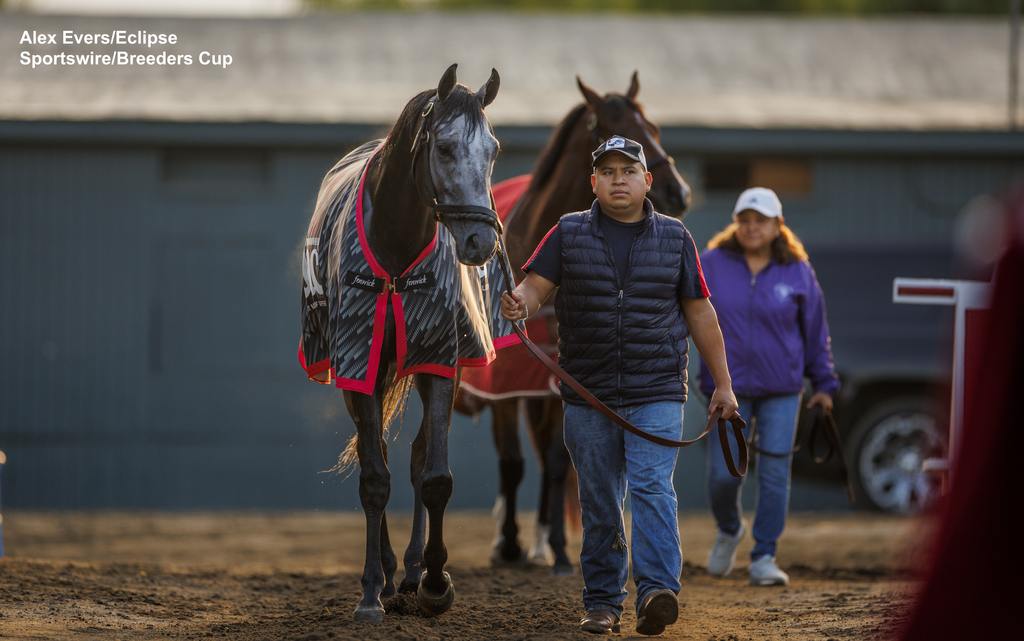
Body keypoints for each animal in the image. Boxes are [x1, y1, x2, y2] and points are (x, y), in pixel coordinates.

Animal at [299, 65, 501, 618]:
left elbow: (433, 476)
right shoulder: (358, 362)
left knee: (412, 459)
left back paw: (410, 571)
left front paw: (434, 582)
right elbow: (374, 478)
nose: (480, 241)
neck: (395, 246)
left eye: (493, 149)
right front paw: (371, 591)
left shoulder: (438, 360)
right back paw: (389, 573)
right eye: (446, 147)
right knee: (382, 460)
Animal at [454, 71, 688, 573]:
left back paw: (545, 540)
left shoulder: (560, 382)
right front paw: (507, 545)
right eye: (617, 130)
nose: (677, 192)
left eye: (655, 128)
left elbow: (559, 462)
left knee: (549, 459)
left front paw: (559, 548)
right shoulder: (507, 386)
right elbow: (512, 462)